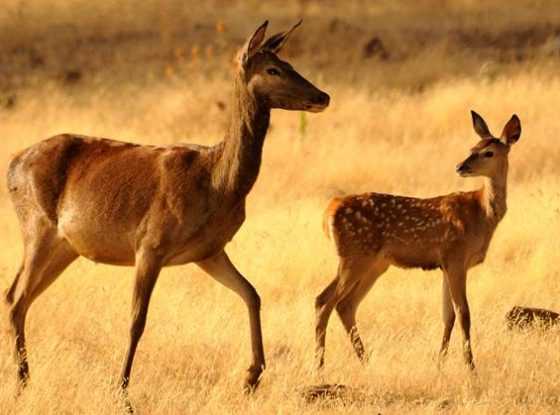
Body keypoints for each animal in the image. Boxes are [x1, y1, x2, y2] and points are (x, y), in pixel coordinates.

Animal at [3, 20, 328, 396]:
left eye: (289, 62)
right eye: (273, 69)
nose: (323, 96)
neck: (217, 183)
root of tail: (12, 166)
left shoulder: (209, 250)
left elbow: (252, 293)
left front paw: (252, 375)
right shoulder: (150, 243)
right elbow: (136, 320)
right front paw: (122, 391)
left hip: (66, 247)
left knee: (17, 298)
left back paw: (23, 377)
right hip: (37, 227)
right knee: (15, 298)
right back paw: (22, 381)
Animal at [316, 110, 520, 370]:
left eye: (488, 152)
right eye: (472, 147)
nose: (460, 166)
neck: (481, 214)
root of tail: (329, 211)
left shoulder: (447, 264)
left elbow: (448, 315)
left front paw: (440, 364)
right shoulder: (455, 257)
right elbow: (464, 313)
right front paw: (471, 367)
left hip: (375, 264)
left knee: (345, 304)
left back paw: (366, 361)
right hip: (354, 256)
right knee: (324, 301)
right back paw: (320, 366)